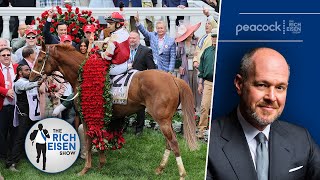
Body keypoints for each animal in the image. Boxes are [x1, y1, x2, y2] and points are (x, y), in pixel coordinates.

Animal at [30, 44, 199, 179]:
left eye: (40, 60)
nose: (31, 76)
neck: (83, 76)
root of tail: (173, 78)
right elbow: (99, 136)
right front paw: (101, 164)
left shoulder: (86, 117)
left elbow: (89, 140)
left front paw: (85, 168)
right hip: (166, 120)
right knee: (168, 143)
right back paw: (160, 168)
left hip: (162, 119)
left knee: (174, 142)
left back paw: (182, 174)